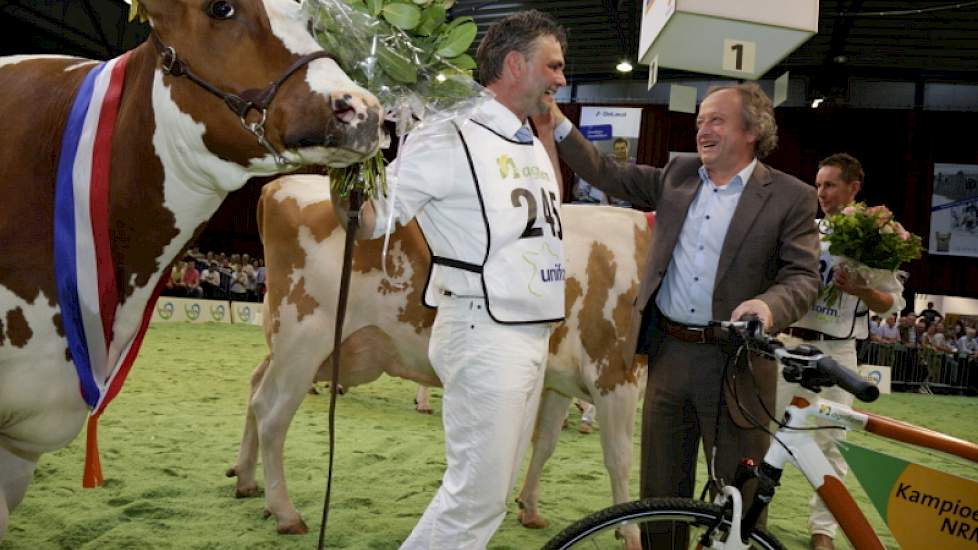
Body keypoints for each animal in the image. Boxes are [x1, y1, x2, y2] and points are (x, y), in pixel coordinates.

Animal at [227, 176, 648, 540]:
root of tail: (279, 186)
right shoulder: (615, 372)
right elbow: (620, 456)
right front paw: (629, 530)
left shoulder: (562, 380)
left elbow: (544, 444)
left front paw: (529, 508)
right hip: (303, 340)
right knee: (271, 414)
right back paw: (285, 512)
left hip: (287, 344)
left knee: (254, 389)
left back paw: (247, 478)